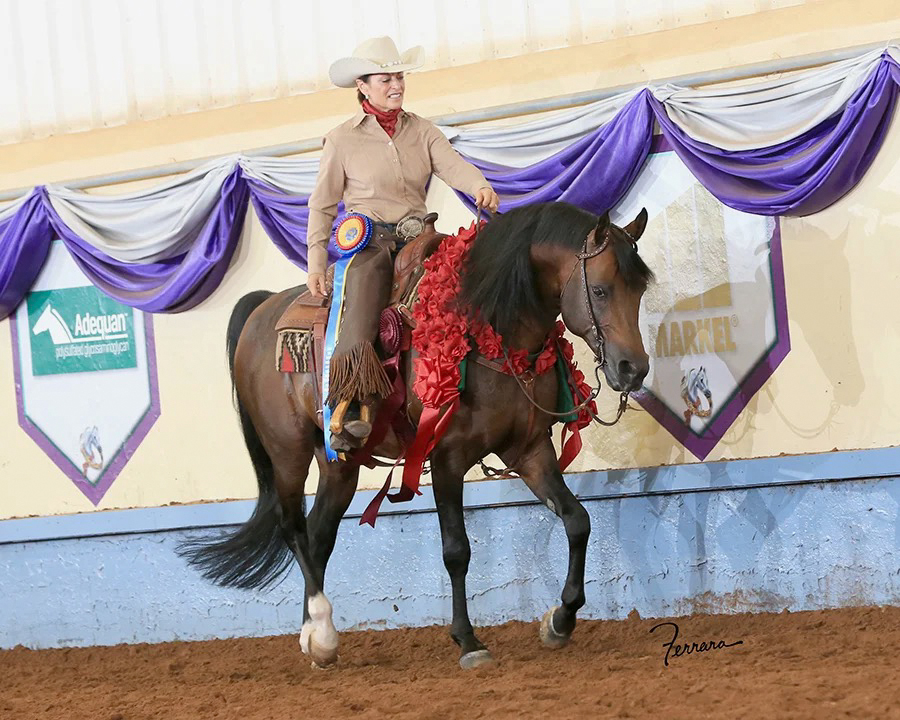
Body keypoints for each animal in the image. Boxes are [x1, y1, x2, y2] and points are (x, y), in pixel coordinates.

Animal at [179, 201, 652, 668]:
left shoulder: (530, 451)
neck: (490, 328)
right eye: (601, 290)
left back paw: (316, 638)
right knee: (293, 527)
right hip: (287, 450)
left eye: (640, 291)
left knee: (319, 533)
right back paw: (322, 629)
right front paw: (468, 641)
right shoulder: (447, 458)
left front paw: (560, 620)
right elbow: (456, 550)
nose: (633, 369)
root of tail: (262, 310)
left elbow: (577, 521)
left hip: (338, 461)